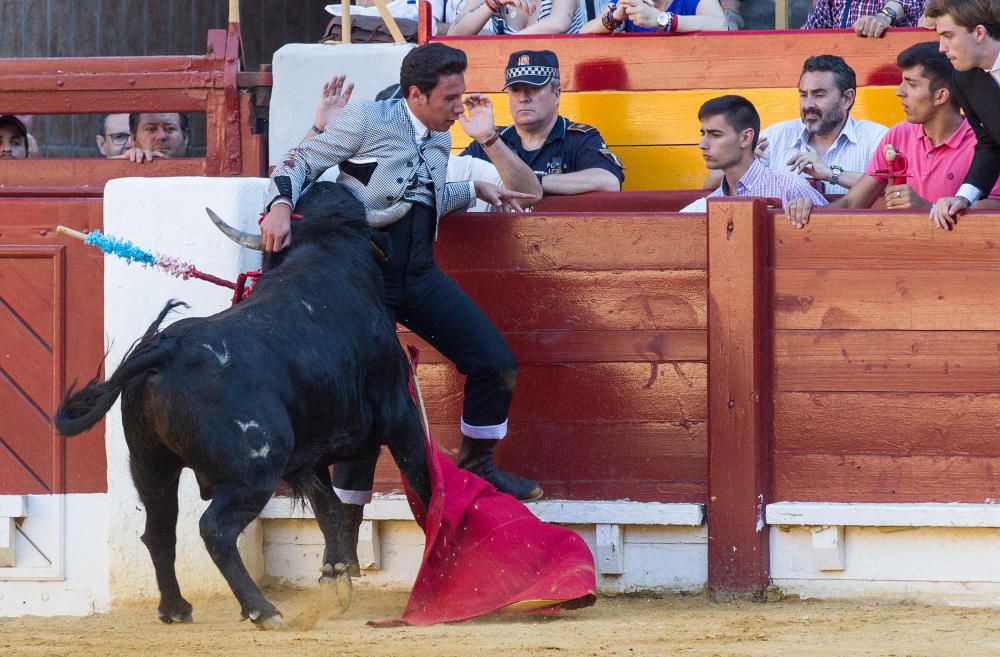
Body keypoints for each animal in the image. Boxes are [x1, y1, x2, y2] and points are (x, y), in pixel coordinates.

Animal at [54, 182, 430, 628]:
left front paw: (335, 578)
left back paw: (175, 607)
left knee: (159, 529)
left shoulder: (304, 454)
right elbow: (421, 482)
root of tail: (168, 351)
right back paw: (261, 609)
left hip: (151, 463)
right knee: (215, 529)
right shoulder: (400, 415)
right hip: (254, 472)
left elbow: (330, 507)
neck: (324, 252)